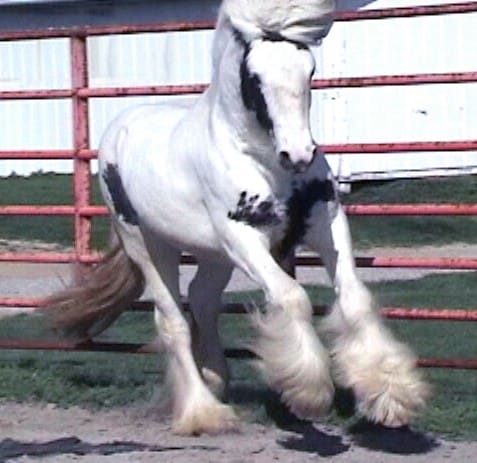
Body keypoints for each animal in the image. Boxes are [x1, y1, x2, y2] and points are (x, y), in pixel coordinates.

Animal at [47, 0, 428, 436]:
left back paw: (215, 379)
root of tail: (120, 126)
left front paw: (391, 396)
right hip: (148, 244)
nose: (298, 154)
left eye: (309, 69)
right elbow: (291, 297)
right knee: (173, 321)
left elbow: (355, 299)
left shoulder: (327, 225)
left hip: (213, 256)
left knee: (202, 299)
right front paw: (308, 392)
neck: (265, 164)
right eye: (254, 76)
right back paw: (203, 412)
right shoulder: (244, 239)